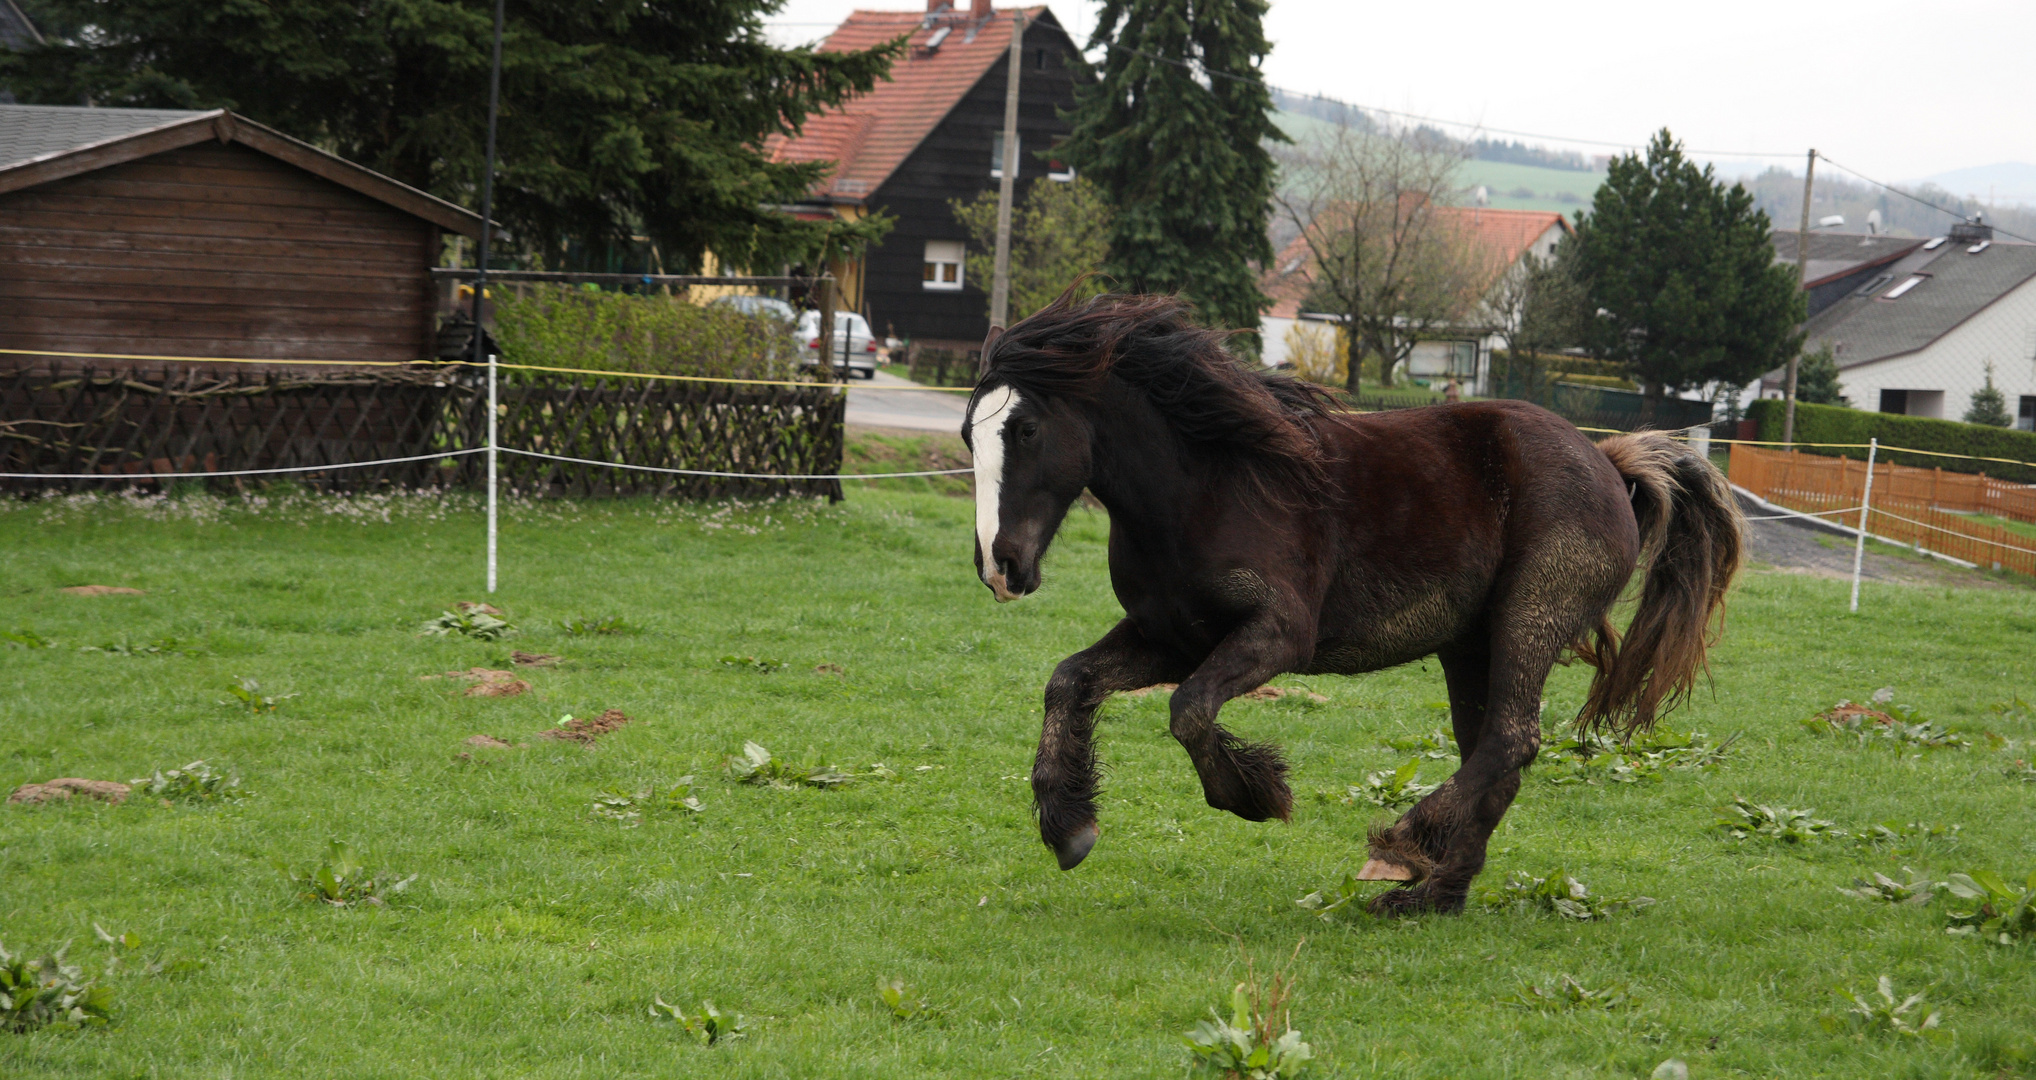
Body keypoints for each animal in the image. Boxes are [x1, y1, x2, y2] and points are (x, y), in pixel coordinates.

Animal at [960, 287, 1742, 908]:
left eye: (1026, 428)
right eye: (969, 434)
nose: (1000, 566)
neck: (1205, 487)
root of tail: (1607, 461)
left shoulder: (1277, 634)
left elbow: (1189, 711)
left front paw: (1253, 795)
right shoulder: (1171, 636)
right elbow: (1069, 682)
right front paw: (1068, 826)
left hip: (1529, 619)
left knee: (1511, 741)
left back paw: (1400, 847)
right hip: (1470, 647)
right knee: (1493, 754)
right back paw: (1430, 896)